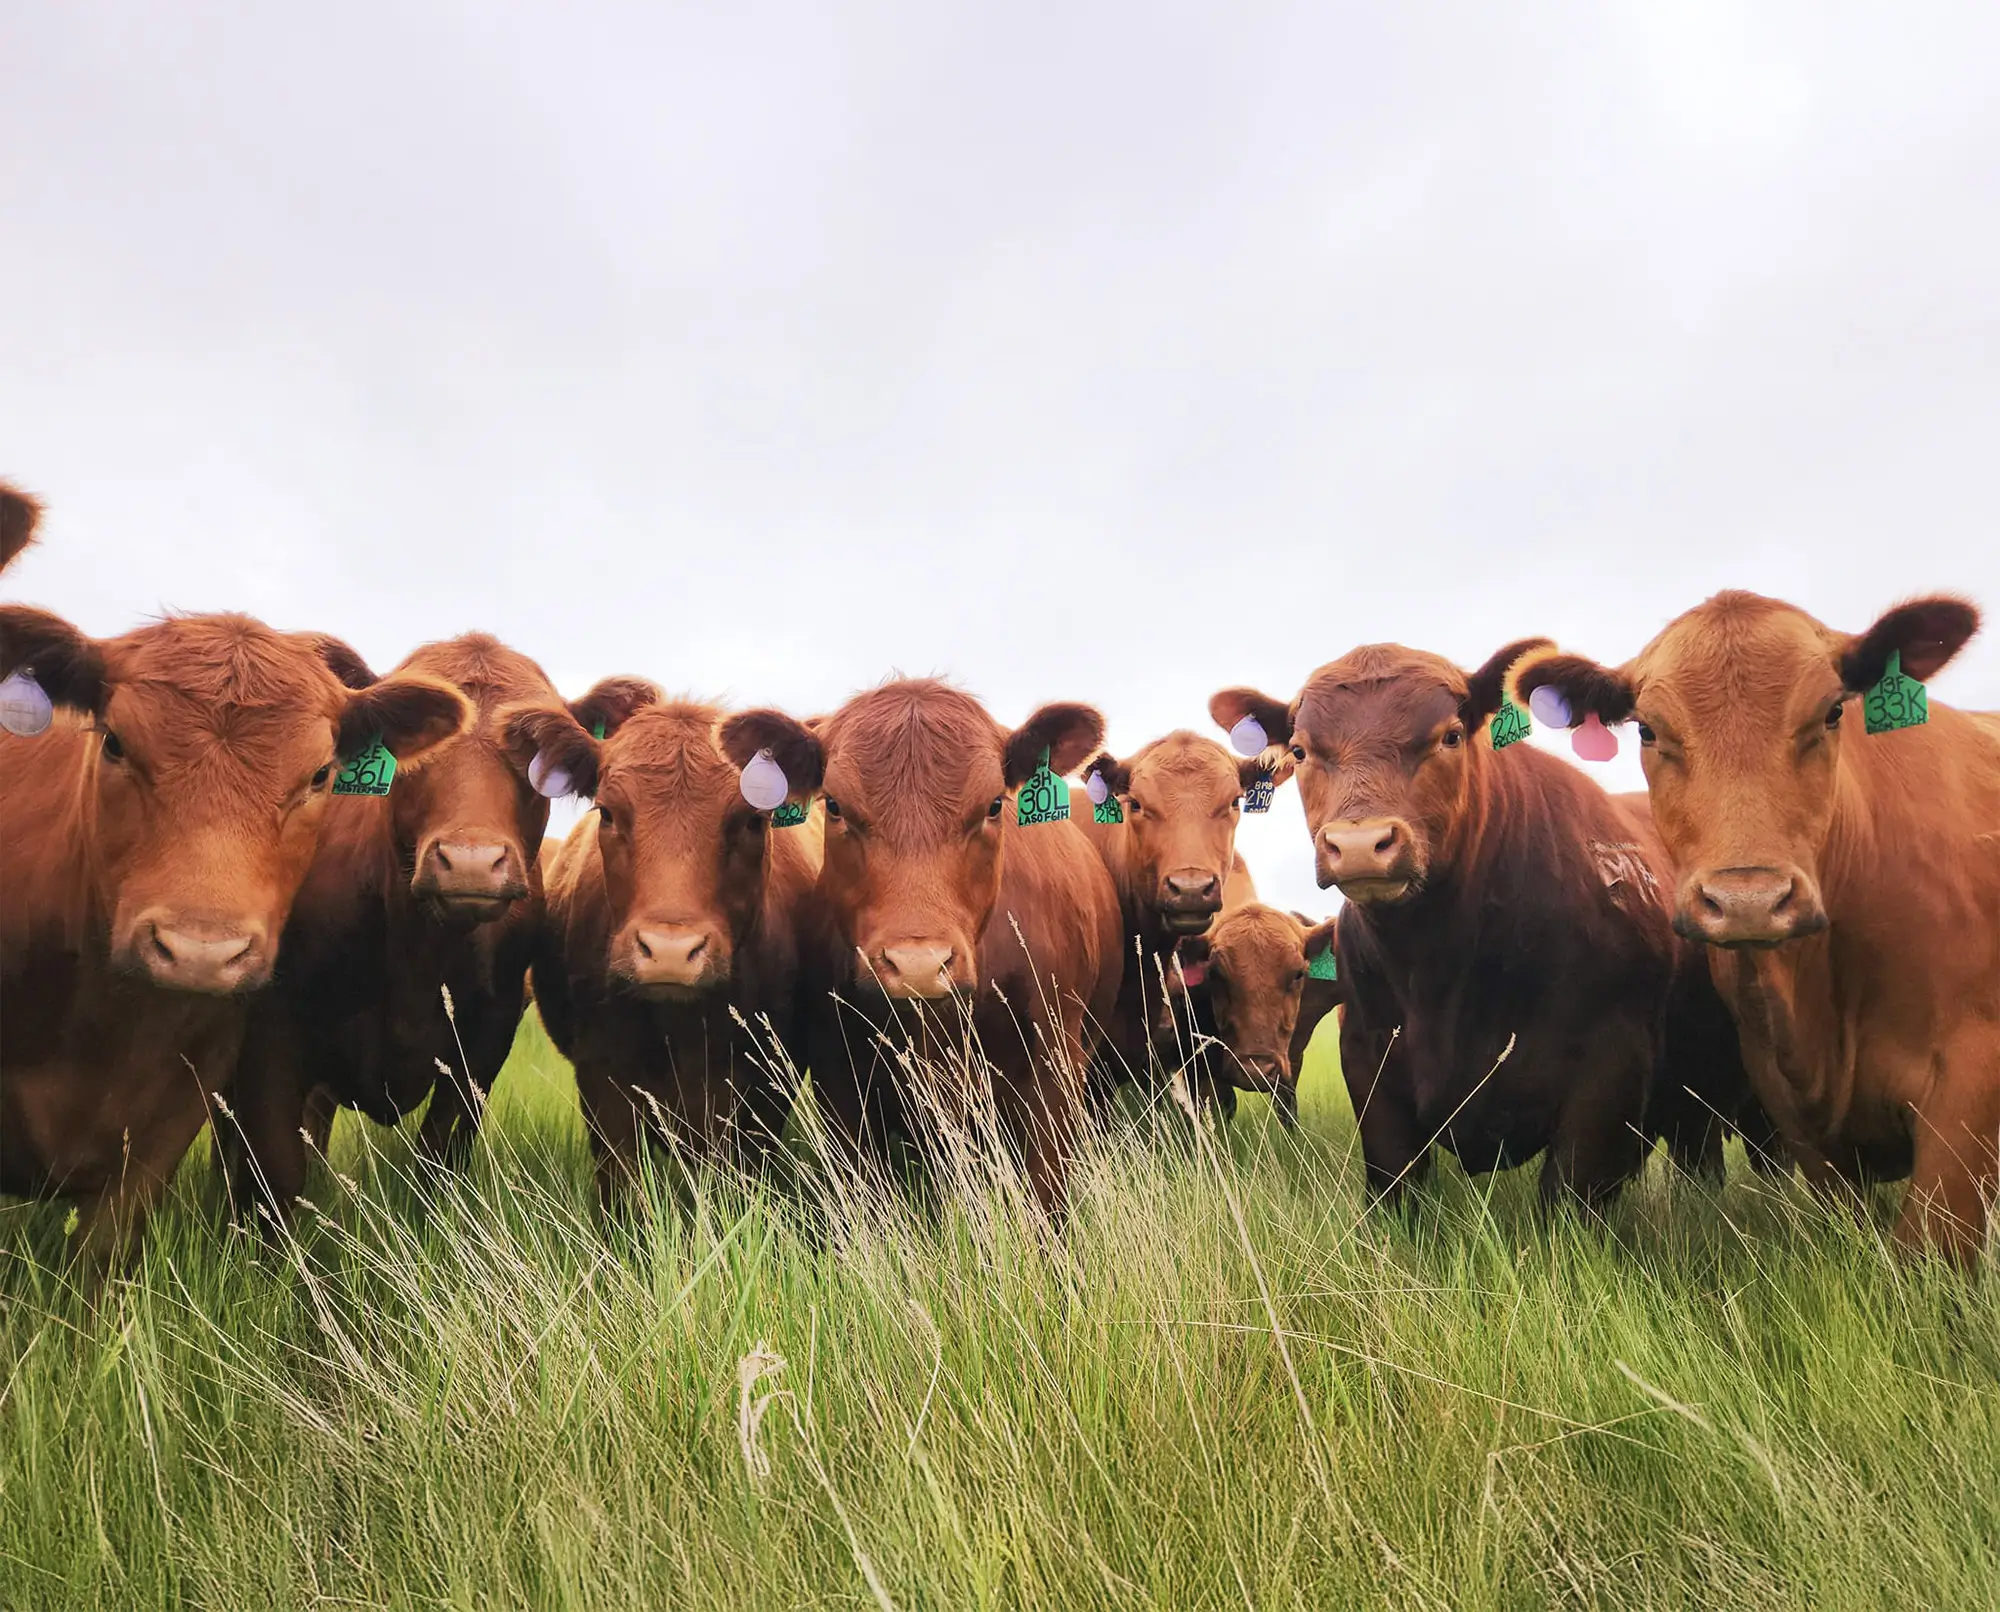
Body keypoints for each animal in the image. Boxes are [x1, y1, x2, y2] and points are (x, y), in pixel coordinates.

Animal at [218, 634, 659, 1220]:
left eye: (533, 751)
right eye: (417, 741)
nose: (471, 861)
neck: (416, 955)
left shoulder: (485, 1038)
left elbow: (440, 1156)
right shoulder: (273, 1029)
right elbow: (275, 1169)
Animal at [1211, 639, 1755, 1210]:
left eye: (1450, 735)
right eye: (1299, 750)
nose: (1359, 844)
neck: (1439, 968)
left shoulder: (1610, 1074)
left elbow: (1567, 1194)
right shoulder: (1369, 1066)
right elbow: (1396, 1183)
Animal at [1517, 591, 1999, 1258]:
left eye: (1832, 712)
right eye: (1648, 729)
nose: (1748, 899)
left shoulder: (1968, 1091)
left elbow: (1925, 1248)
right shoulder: (1791, 1105)